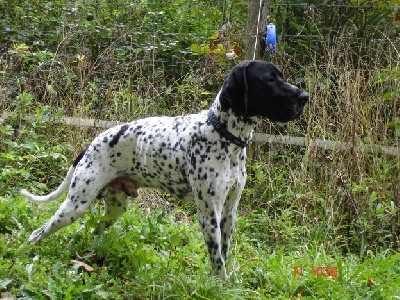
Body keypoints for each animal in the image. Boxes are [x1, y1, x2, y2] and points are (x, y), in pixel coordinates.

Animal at [20, 60, 310, 278]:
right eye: (269, 79)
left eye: (281, 76)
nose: (305, 97)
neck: (224, 136)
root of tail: (90, 145)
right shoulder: (209, 213)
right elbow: (217, 260)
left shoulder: (229, 212)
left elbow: (224, 253)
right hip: (74, 206)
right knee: (37, 233)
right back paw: (25, 255)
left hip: (115, 208)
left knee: (94, 231)